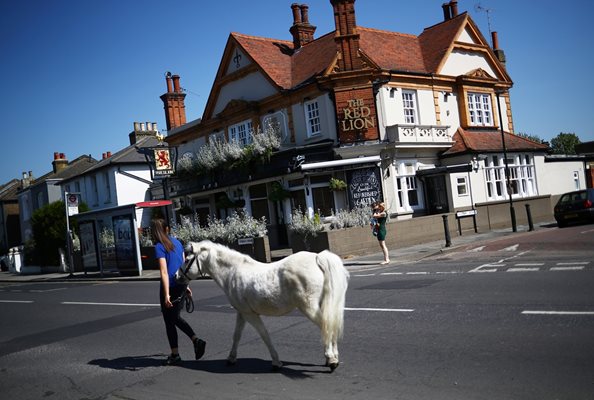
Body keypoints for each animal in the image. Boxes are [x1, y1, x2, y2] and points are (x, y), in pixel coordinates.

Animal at [176, 241, 346, 372]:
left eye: (187, 260)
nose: (177, 276)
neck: (232, 272)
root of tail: (317, 257)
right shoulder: (242, 313)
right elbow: (236, 336)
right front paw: (231, 358)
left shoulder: (250, 314)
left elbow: (264, 335)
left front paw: (276, 362)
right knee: (330, 325)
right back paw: (333, 357)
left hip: (308, 307)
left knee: (326, 325)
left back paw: (331, 359)